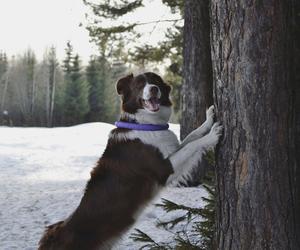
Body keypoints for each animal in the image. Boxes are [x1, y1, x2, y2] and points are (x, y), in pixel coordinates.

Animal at [38, 71, 223, 249]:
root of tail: (51, 235)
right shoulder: (164, 169)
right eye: (140, 85)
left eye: (156, 80)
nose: (154, 89)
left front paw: (208, 120)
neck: (144, 124)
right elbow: (192, 145)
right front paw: (212, 135)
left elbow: (193, 136)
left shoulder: (171, 150)